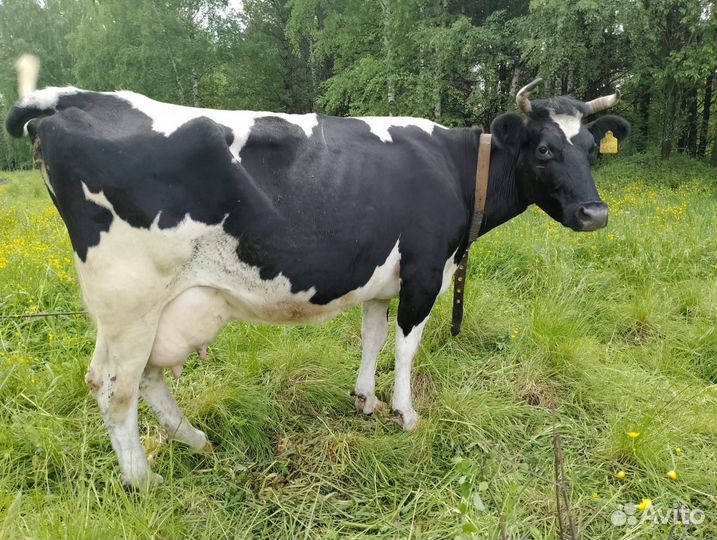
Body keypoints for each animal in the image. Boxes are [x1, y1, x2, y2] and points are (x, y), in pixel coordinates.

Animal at [6, 56, 629, 488]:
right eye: (545, 149)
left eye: (590, 150)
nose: (595, 214)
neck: (454, 169)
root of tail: (75, 99)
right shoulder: (426, 270)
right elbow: (406, 346)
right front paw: (406, 414)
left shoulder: (385, 277)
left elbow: (373, 336)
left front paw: (365, 400)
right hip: (131, 296)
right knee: (117, 387)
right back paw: (142, 479)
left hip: (139, 307)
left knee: (130, 377)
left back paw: (194, 439)